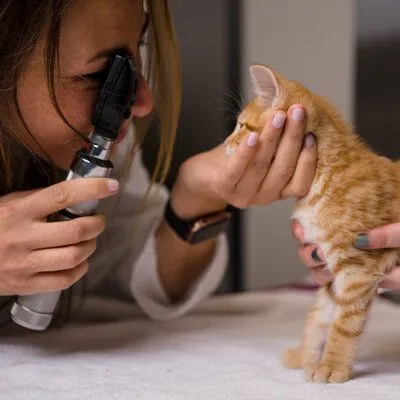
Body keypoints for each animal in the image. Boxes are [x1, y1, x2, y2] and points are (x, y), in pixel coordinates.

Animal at [225, 65, 400, 384]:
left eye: (242, 126)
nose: (224, 145)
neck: (325, 177)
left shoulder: (357, 269)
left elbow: (343, 324)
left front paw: (332, 365)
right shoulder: (329, 268)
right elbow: (319, 315)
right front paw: (304, 354)